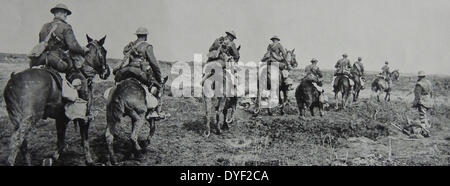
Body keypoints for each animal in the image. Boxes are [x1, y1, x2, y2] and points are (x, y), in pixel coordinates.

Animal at [2, 35, 110, 166]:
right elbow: (84, 140)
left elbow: (61, 141)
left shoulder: (61, 118)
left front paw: (52, 158)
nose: (107, 72)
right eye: (104, 51)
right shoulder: (83, 119)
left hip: (16, 119)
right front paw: (89, 160)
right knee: (17, 140)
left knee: (23, 143)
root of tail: (12, 81)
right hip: (29, 118)